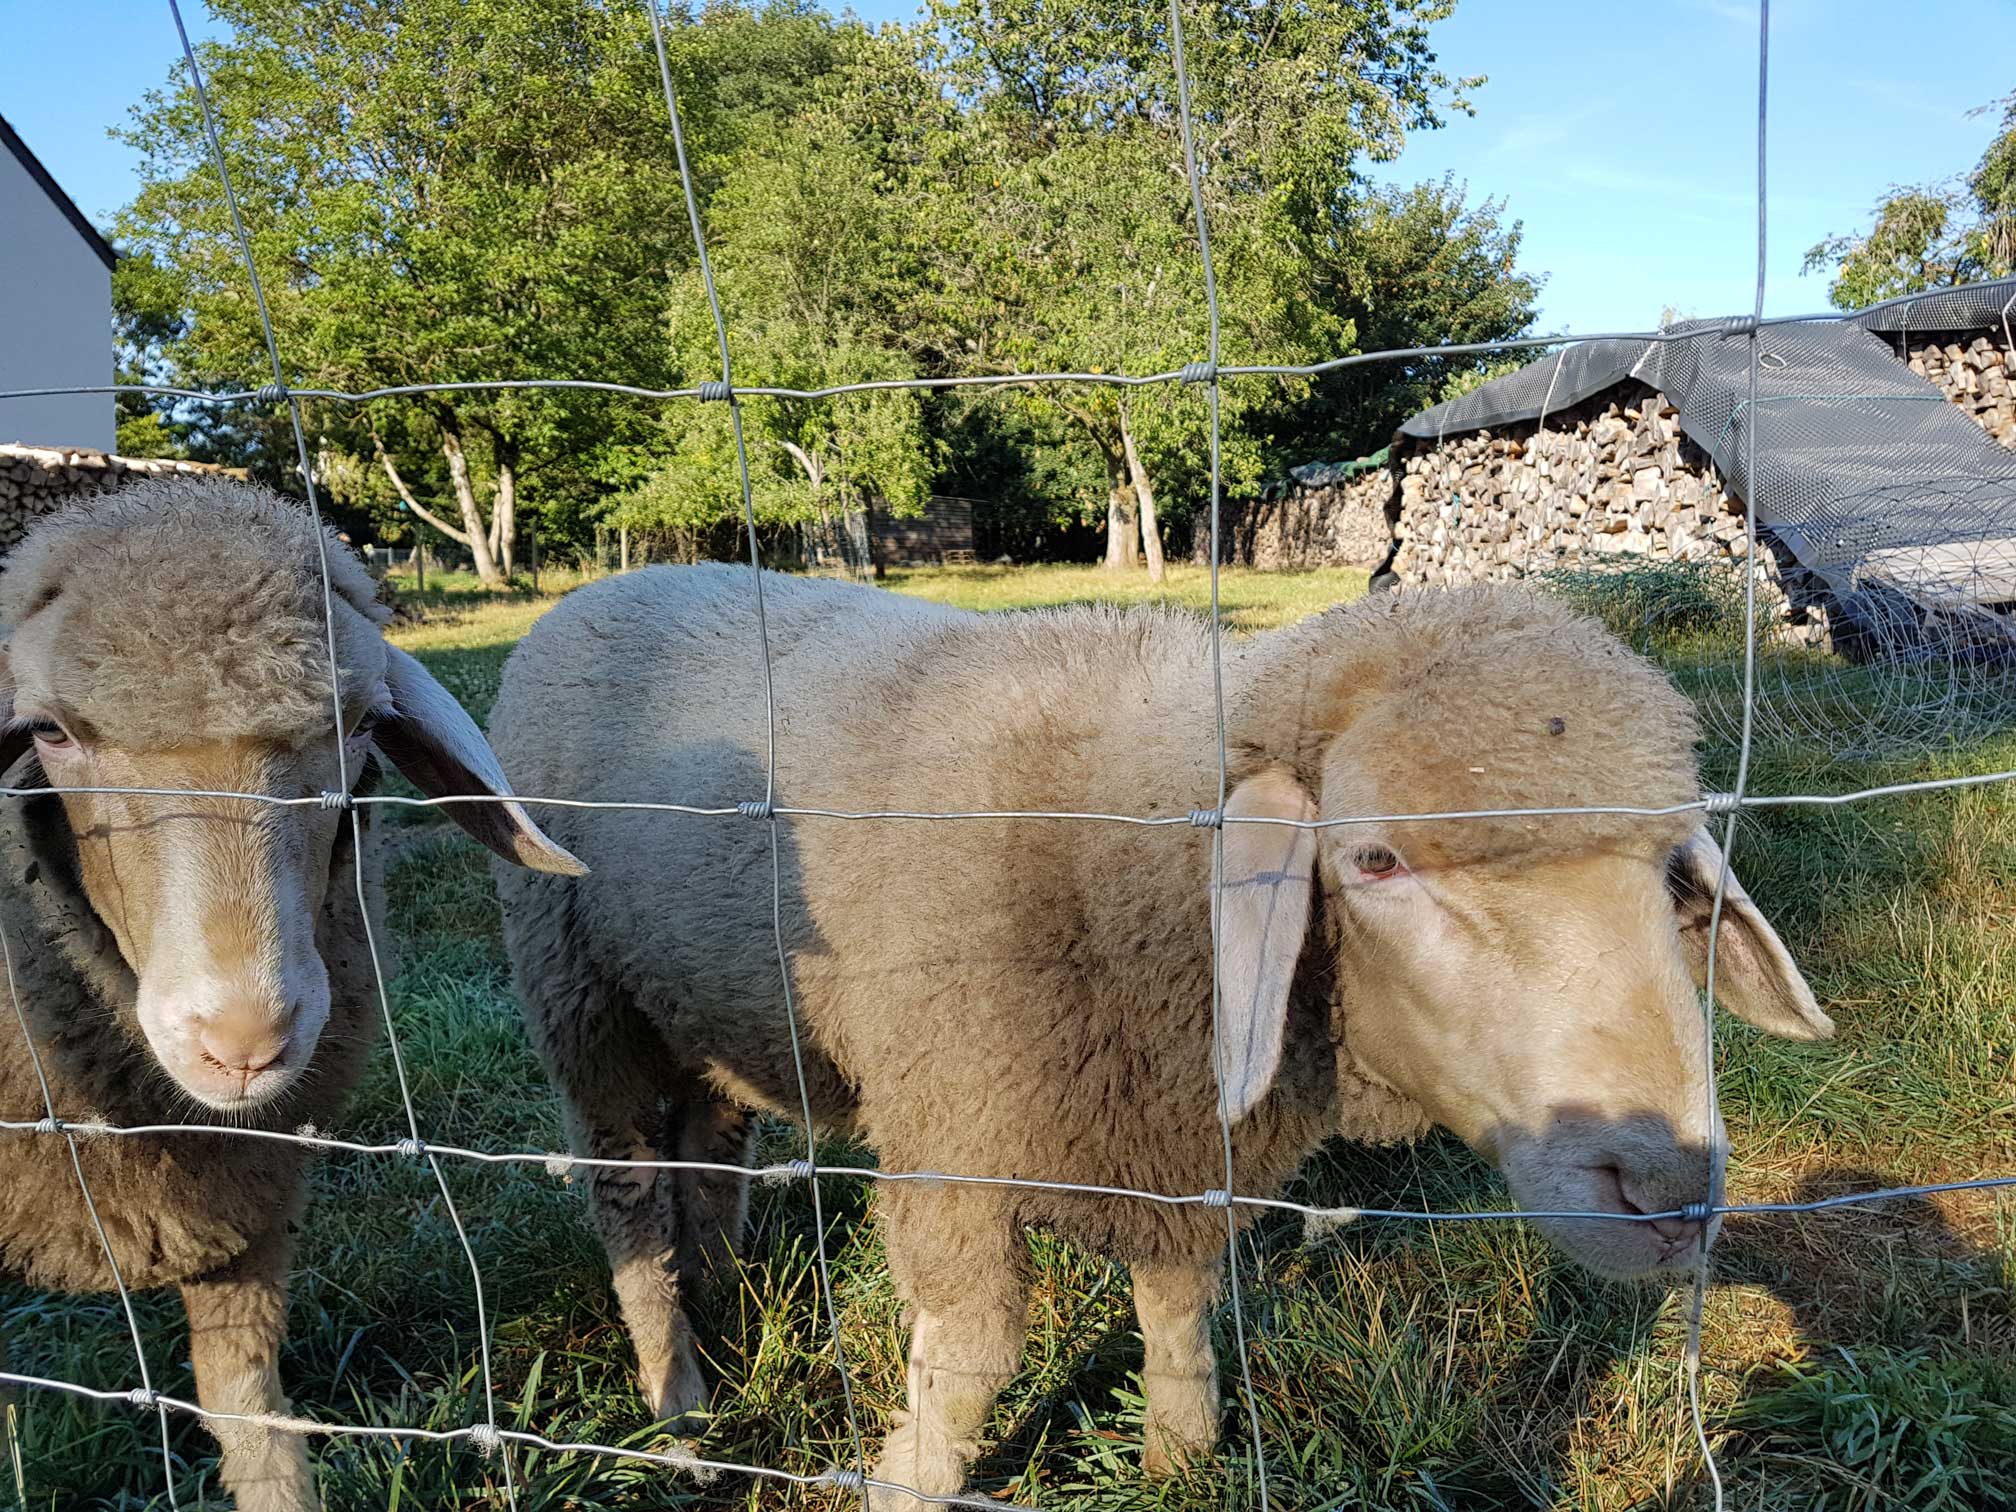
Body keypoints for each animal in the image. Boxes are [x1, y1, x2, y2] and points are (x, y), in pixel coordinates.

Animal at [487, 564, 1830, 1507]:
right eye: (1375, 861)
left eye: (1670, 871)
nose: (1667, 1185)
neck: (1128, 856)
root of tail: (610, 585)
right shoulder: (952, 1142)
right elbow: (973, 1356)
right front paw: (903, 1484)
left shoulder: (1175, 1143)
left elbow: (1180, 1312)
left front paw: (1178, 1461)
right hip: (578, 991)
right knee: (625, 1190)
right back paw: (681, 1401)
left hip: (701, 999)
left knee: (710, 1144)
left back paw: (726, 1290)